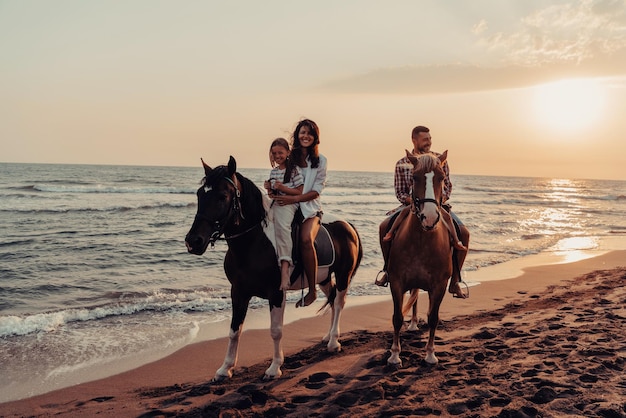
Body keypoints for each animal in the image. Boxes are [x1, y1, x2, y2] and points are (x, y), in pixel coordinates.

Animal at [184, 157, 360, 382]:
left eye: (222, 196)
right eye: (200, 194)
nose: (193, 241)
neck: (254, 243)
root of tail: (348, 226)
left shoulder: (276, 293)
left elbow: (276, 330)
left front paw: (274, 368)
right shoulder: (238, 292)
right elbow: (234, 331)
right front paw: (225, 369)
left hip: (344, 274)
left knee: (338, 303)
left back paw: (333, 343)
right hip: (323, 278)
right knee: (331, 297)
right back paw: (328, 336)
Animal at [378, 150, 450, 366]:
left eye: (441, 178)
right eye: (415, 177)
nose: (429, 217)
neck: (422, 241)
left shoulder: (440, 285)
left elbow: (433, 318)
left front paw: (430, 355)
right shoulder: (396, 282)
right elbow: (396, 317)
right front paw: (394, 355)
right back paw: (413, 325)